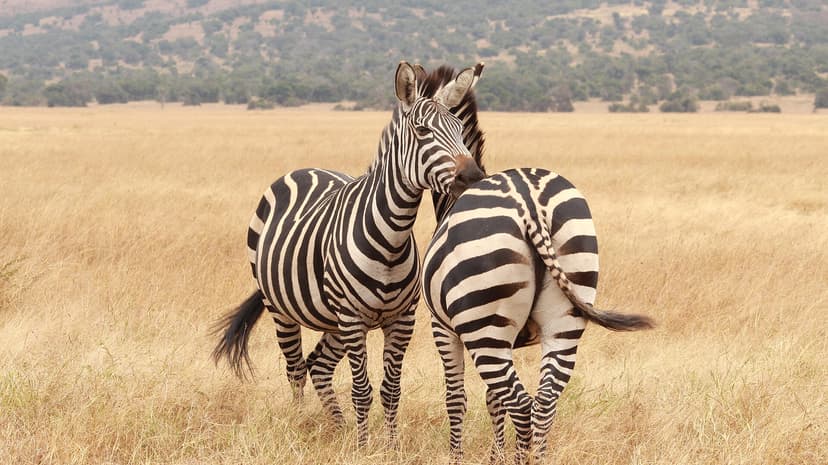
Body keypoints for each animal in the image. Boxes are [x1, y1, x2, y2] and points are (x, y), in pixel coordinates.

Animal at [212, 61, 486, 446]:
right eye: (422, 131)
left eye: (459, 130)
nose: (474, 176)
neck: (392, 238)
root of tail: (304, 169)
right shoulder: (354, 319)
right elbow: (362, 390)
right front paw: (362, 447)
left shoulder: (401, 320)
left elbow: (390, 390)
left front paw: (390, 446)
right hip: (282, 308)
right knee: (295, 369)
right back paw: (303, 421)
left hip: (333, 319)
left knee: (318, 365)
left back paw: (338, 426)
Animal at [422, 167, 655, 464]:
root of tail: (530, 203)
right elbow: (493, 400)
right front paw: (496, 457)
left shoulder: (442, 328)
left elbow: (456, 399)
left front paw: (458, 457)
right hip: (564, 320)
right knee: (544, 401)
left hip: (484, 330)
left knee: (521, 406)